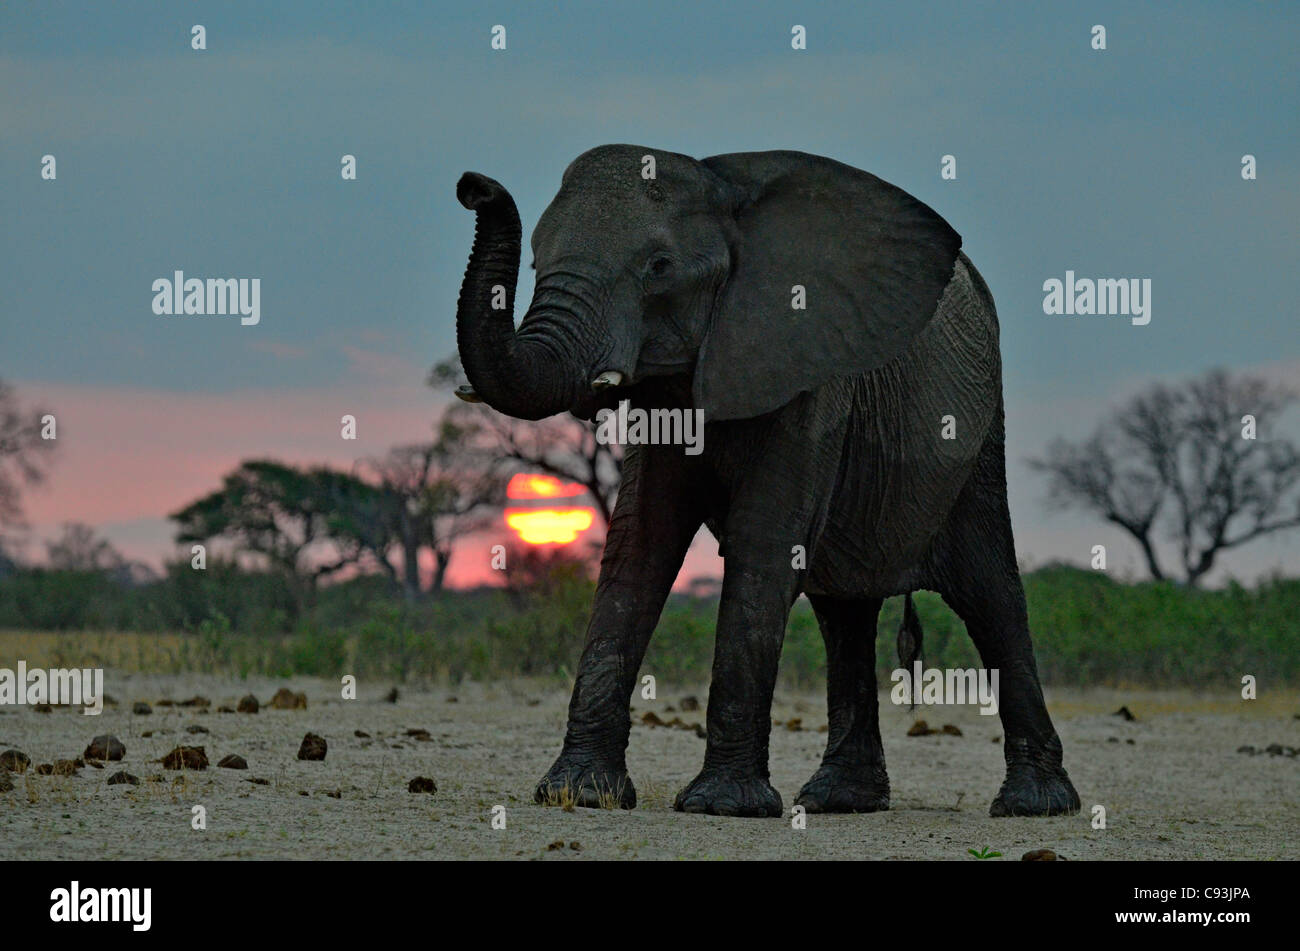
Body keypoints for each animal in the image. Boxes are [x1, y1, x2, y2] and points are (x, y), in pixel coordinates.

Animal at [452, 140, 1081, 815]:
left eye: (658, 266)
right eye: (536, 259)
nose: (473, 186)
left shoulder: (810, 373)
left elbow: (763, 542)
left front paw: (721, 805)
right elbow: (638, 546)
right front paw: (579, 793)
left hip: (977, 441)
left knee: (991, 594)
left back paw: (1035, 804)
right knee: (844, 612)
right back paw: (841, 798)